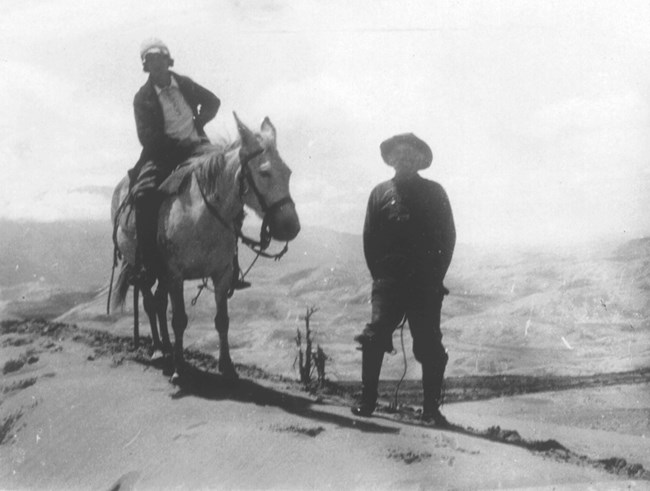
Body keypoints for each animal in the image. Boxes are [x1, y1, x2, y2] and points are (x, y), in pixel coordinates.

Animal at [112, 113, 302, 382]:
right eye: (264, 172)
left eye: (288, 172)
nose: (291, 227)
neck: (201, 215)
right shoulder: (176, 274)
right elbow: (179, 319)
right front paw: (179, 368)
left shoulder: (221, 274)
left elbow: (222, 320)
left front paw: (227, 367)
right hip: (144, 268)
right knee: (150, 303)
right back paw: (159, 350)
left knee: (159, 303)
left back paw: (167, 348)